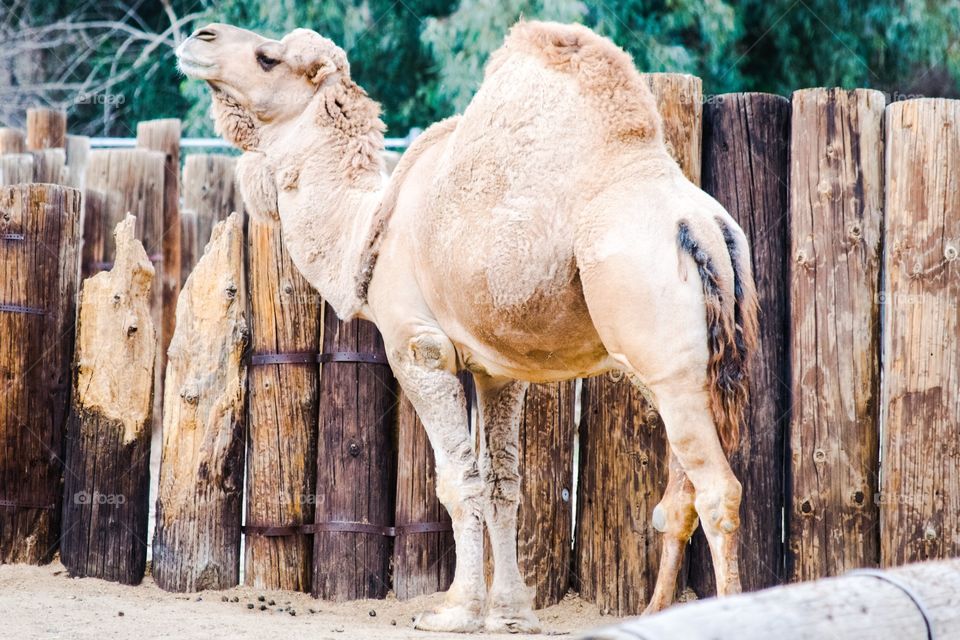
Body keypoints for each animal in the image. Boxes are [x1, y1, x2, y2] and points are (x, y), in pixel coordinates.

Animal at [176, 20, 758, 633]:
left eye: (268, 58)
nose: (200, 36)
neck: (365, 229)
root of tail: (704, 227)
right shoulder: (499, 371)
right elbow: (503, 484)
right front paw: (511, 612)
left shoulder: (419, 348)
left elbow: (457, 482)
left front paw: (455, 609)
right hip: (687, 370)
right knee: (682, 495)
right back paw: (653, 612)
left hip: (662, 356)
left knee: (719, 491)